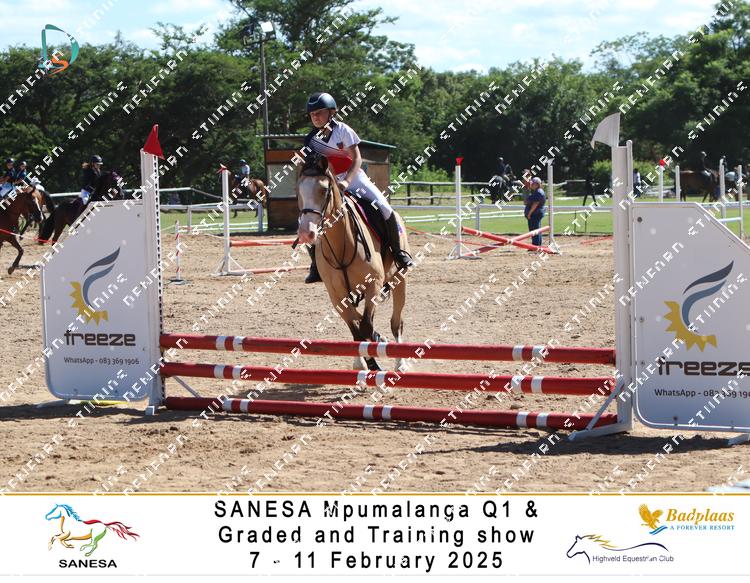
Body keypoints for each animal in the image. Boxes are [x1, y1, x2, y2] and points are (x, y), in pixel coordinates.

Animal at [296, 154, 408, 371]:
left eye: (324, 190)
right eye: (299, 190)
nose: (307, 232)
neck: (342, 243)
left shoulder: (373, 284)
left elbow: (365, 326)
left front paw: (372, 362)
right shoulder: (336, 294)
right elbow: (356, 329)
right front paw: (364, 361)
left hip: (399, 280)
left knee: (396, 322)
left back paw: (400, 362)